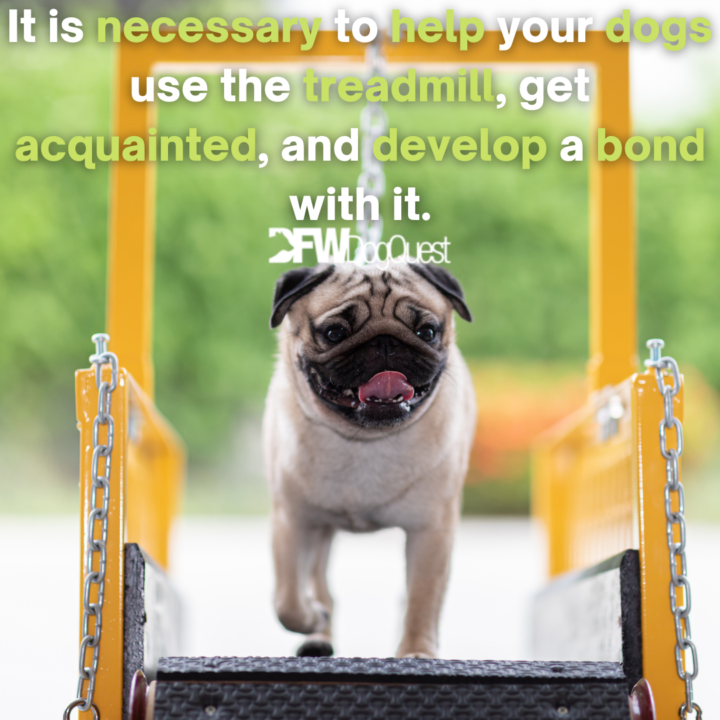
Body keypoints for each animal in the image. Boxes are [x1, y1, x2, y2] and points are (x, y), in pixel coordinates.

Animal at [262, 262, 476, 660]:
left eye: (427, 332)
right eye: (334, 333)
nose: (386, 343)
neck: (365, 440)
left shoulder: (431, 531)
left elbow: (422, 598)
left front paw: (416, 652)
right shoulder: (292, 522)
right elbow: (286, 601)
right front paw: (310, 619)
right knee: (320, 587)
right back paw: (319, 634)